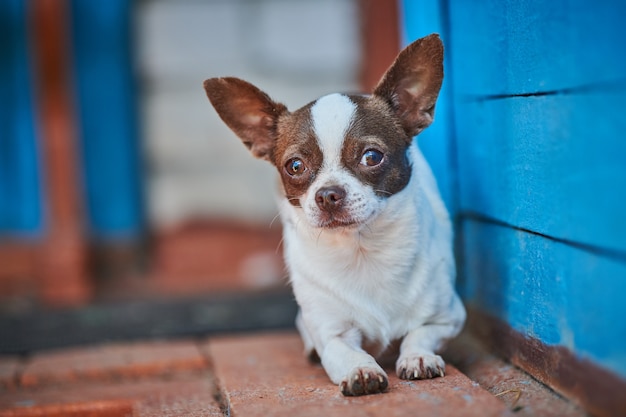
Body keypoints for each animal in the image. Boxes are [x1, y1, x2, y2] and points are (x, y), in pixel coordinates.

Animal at [204, 34, 464, 394]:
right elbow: (344, 350)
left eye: (372, 156)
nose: (328, 194)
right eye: (294, 166)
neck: (362, 250)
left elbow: (420, 333)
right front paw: (361, 369)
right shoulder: (332, 333)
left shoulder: (448, 319)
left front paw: (418, 357)